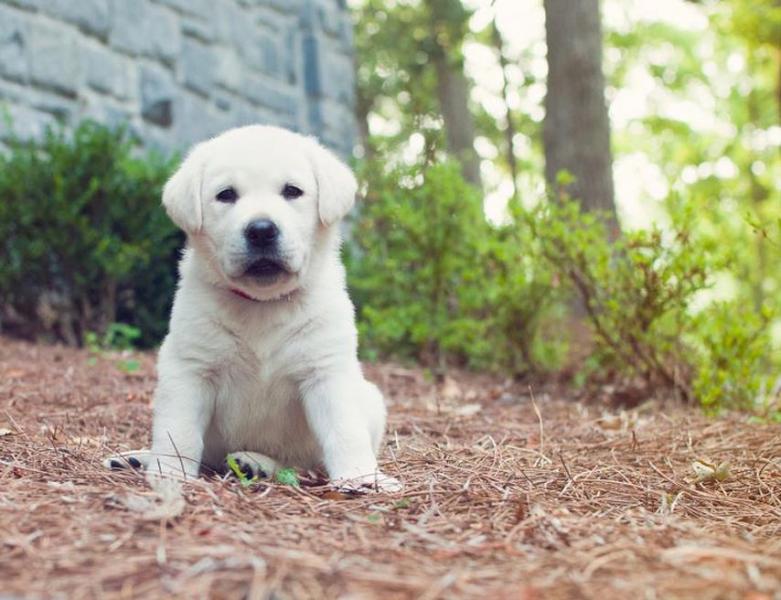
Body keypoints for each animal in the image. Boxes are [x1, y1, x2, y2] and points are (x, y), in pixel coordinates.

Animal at [106, 123, 400, 492]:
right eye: (226, 195)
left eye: (292, 191)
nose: (261, 230)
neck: (262, 305)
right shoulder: (190, 367)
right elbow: (179, 429)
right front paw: (168, 473)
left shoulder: (326, 370)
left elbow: (345, 429)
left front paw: (361, 478)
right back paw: (137, 458)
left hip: (369, 400)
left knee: (300, 465)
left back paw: (257, 463)